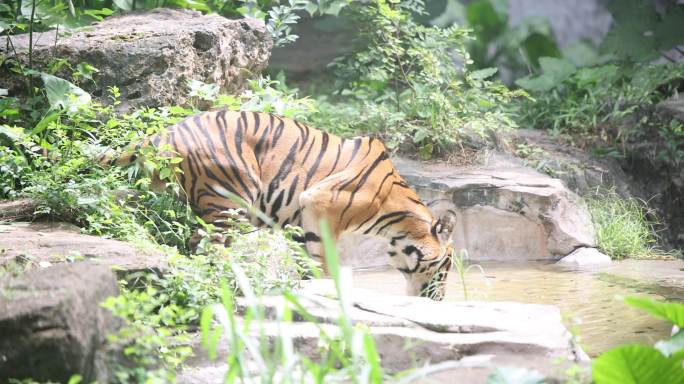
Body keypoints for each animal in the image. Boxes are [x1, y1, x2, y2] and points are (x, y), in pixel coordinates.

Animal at [107, 110, 456, 300]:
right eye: (446, 267)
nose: (439, 299)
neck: (396, 217)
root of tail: (165, 133)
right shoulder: (318, 204)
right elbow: (323, 260)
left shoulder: (301, 222)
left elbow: (306, 260)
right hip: (233, 199)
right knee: (207, 245)